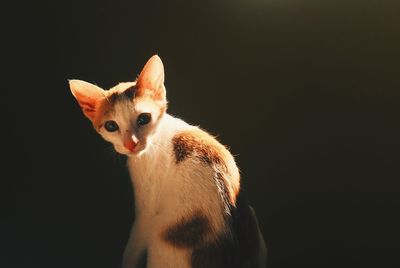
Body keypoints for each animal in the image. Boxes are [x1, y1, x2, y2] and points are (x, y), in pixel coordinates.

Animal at [69, 55, 266, 266]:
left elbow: (132, 248)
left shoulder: (145, 212)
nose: (131, 144)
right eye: (111, 126)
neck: (155, 141)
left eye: (144, 118)